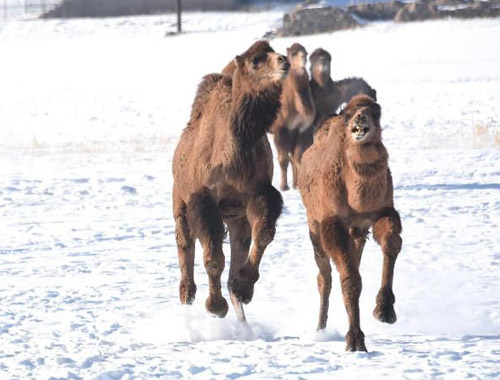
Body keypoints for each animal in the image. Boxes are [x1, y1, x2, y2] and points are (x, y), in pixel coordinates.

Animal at [172, 40, 290, 320]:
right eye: (256, 61)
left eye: (274, 51)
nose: (284, 61)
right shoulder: (203, 199)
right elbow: (214, 258)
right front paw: (216, 306)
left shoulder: (259, 192)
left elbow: (264, 233)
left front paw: (244, 287)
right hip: (179, 199)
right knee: (185, 242)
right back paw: (188, 301)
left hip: (236, 216)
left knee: (240, 242)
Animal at [272, 43, 314, 191]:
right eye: (293, 53)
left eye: (306, 52)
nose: (304, 58)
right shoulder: (280, 127)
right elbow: (283, 159)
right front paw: (284, 186)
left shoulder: (301, 129)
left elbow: (297, 157)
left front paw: (298, 186)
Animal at [298, 94, 404, 350]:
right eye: (347, 115)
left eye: (377, 113)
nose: (360, 118)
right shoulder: (332, 221)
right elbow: (351, 280)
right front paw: (355, 340)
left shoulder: (382, 211)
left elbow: (392, 243)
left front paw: (384, 310)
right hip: (314, 224)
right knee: (324, 276)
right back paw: (320, 328)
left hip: (357, 231)